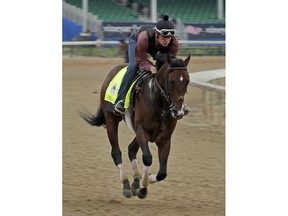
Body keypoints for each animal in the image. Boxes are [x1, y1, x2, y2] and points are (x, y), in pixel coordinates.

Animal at [79, 54, 191, 199]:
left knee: (131, 149)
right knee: (116, 152)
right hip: (111, 120)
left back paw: (136, 181)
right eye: (171, 81)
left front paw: (146, 180)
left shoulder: (164, 139)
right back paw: (126, 185)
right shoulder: (142, 131)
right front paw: (143, 186)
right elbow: (147, 158)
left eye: (187, 81)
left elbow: (162, 173)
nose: (179, 111)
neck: (158, 103)